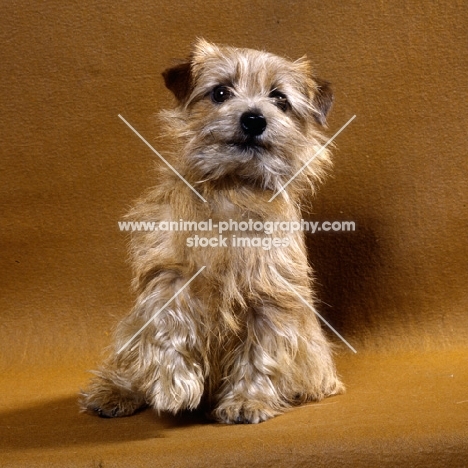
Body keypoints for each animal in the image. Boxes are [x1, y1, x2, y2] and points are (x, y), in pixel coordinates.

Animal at [80, 39, 344, 424]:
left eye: (279, 99)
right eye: (220, 92)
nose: (253, 118)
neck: (231, 189)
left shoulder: (270, 296)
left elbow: (261, 351)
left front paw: (248, 400)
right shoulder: (169, 276)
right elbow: (169, 328)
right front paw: (174, 385)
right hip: (130, 331)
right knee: (131, 361)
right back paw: (115, 392)